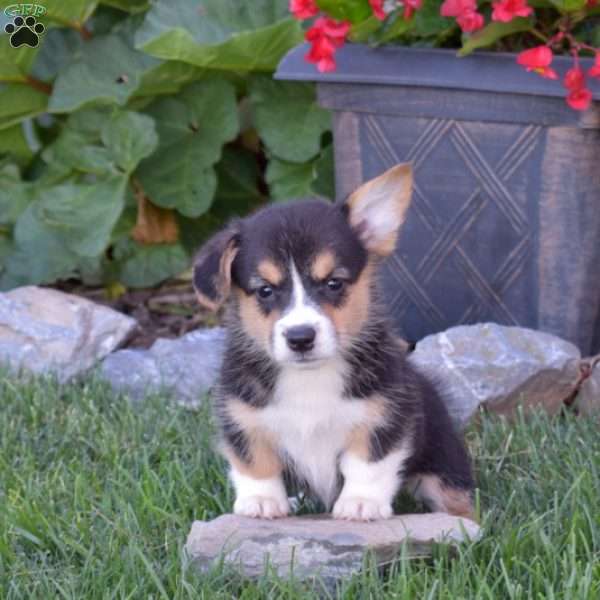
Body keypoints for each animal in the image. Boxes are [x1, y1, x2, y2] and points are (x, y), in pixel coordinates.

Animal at [192, 163, 474, 520]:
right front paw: (261, 502)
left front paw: (361, 504)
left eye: (334, 283)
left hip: (443, 463)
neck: (309, 378)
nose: (300, 338)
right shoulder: (241, 416)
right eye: (265, 290)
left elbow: (367, 463)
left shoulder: (385, 416)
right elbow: (255, 461)